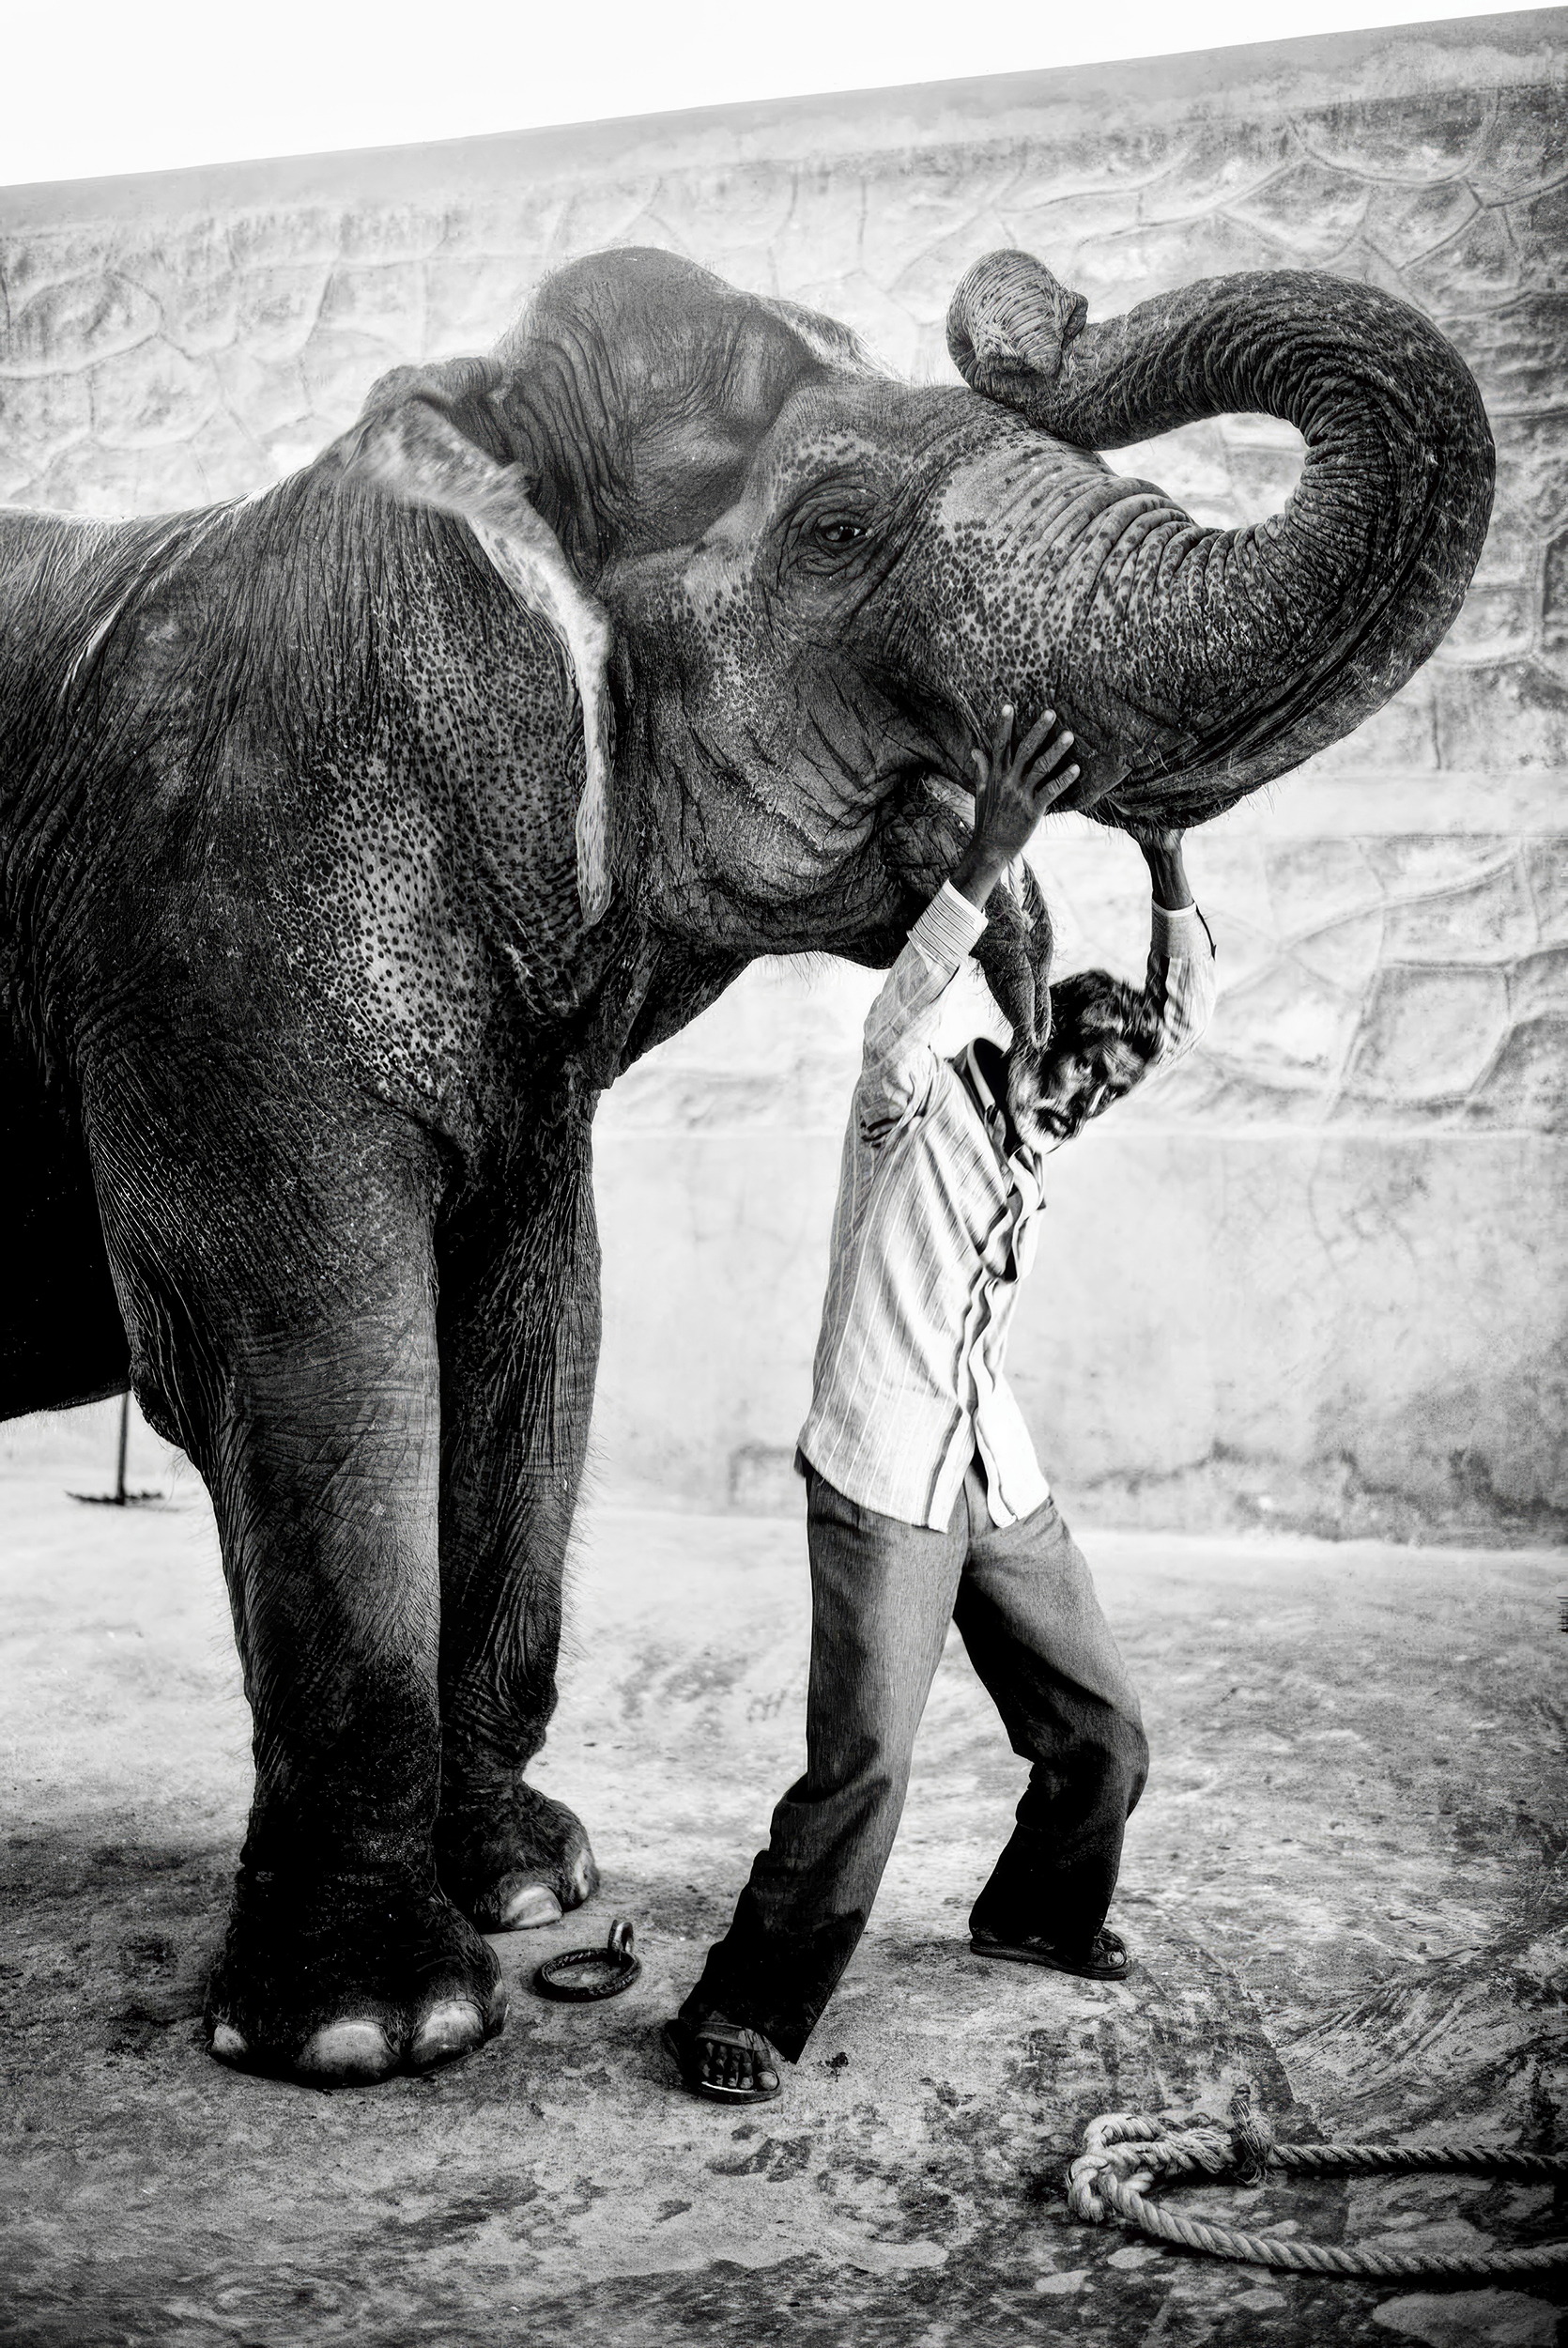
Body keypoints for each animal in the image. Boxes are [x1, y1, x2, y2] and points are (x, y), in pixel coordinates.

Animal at [0, 241, 1492, 2086]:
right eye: (837, 530)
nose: (1037, 307)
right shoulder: (217, 924)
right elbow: (307, 1360)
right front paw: (372, 2034)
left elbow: (538, 1331)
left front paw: (530, 1887)